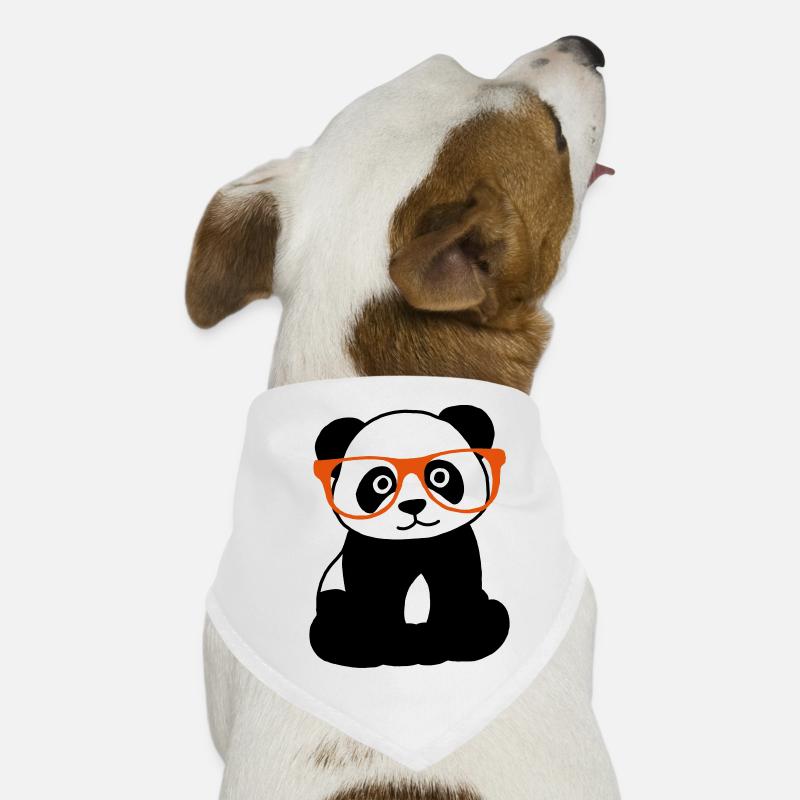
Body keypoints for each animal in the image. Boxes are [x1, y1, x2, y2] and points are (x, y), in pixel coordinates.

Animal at [310, 404, 510, 668]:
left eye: (440, 476)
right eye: (381, 483)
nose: (413, 505)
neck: (413, 542)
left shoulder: (454, 545)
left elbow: (454, 588)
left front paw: (444, 645)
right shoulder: (369, 554)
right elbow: (377, 597)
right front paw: (397, 651)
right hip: (334, 599)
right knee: (337, 614)